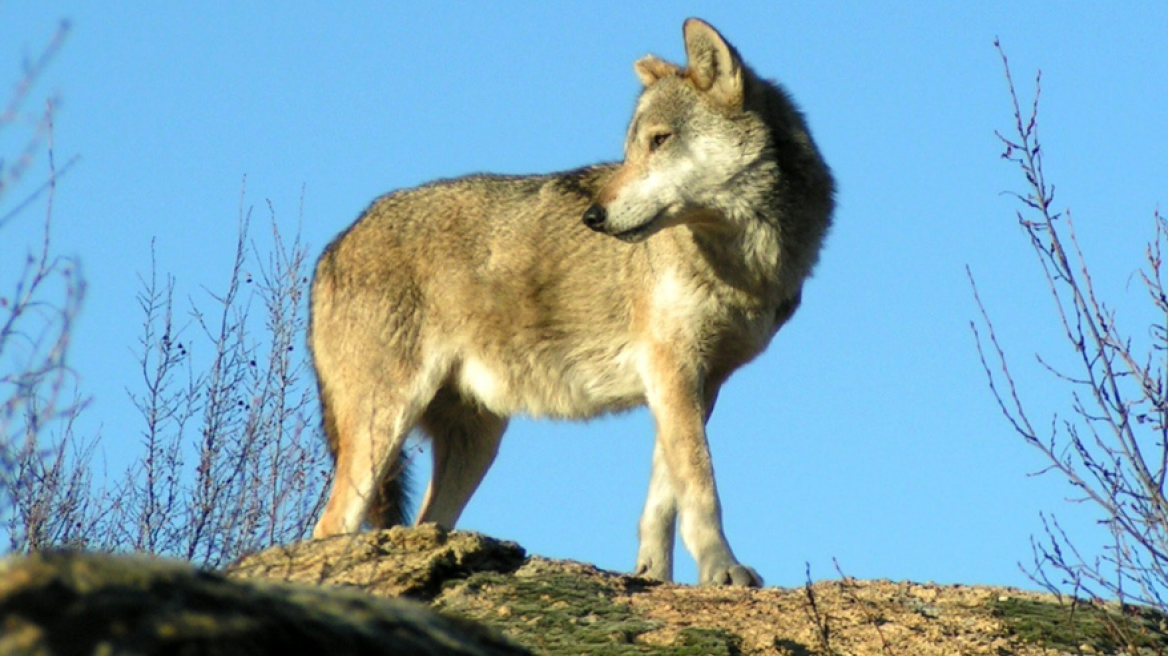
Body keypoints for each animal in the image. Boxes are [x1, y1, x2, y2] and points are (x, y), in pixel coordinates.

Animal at [310, 17, 836, 583]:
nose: (593, 217)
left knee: (422, 522)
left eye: (659, 141)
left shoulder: (694, 382)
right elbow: (701, 489)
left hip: (476, 442)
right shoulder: (672, 369)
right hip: (384, 426)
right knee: (329, 526)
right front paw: (723, 569)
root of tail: (332, 247)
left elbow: (663, 500)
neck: (745, 262)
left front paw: (652, 576)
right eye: (630, 149)